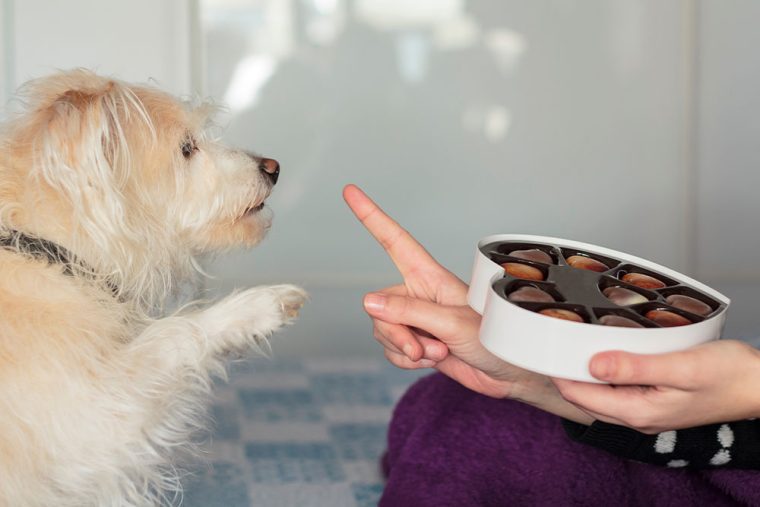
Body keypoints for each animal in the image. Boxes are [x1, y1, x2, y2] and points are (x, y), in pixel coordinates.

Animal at [0, 70, 308, 507]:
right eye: (186, 148)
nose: (273, 167)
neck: (50, 250)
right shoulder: (95, 419)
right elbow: (173, 333)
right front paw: (257, 307)